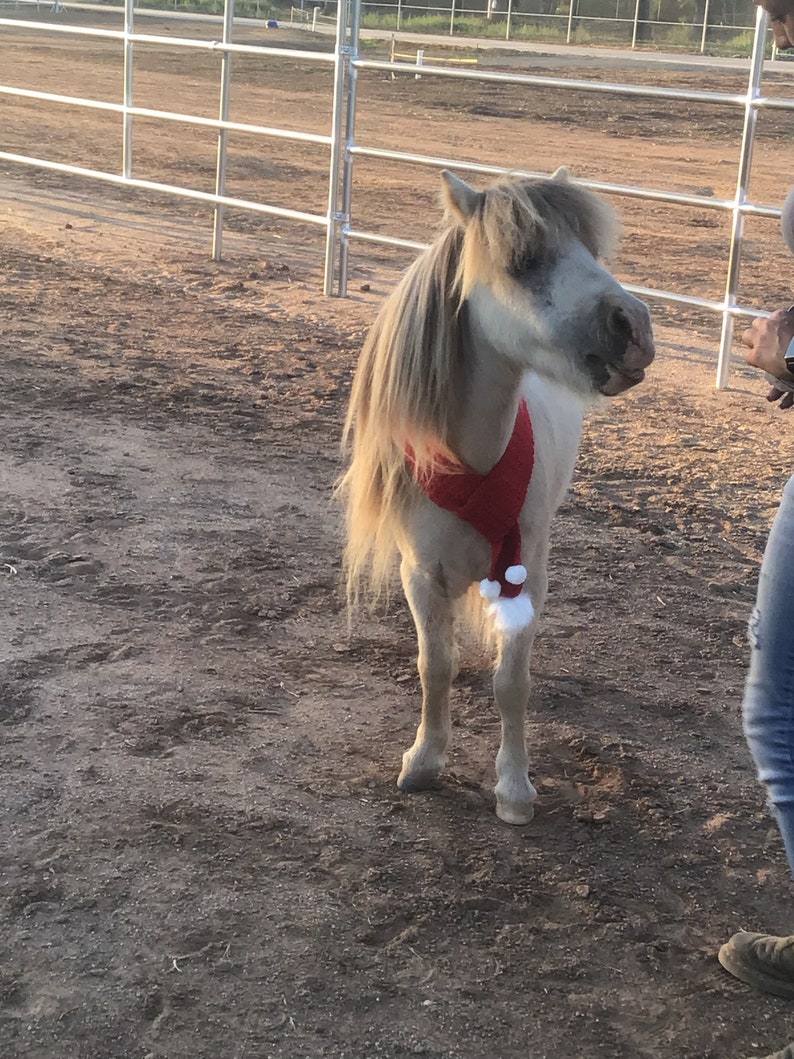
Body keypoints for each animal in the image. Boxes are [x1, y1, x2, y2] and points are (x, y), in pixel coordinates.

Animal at [337, 168, 655, 825]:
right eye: (523, 261)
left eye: (592, 251)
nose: (635, 328)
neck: (470, 462)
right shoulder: (420, 573)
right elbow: (435, 666)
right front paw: (424, 760)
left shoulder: (522, 570)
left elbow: (513, 682)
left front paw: (514, 789)